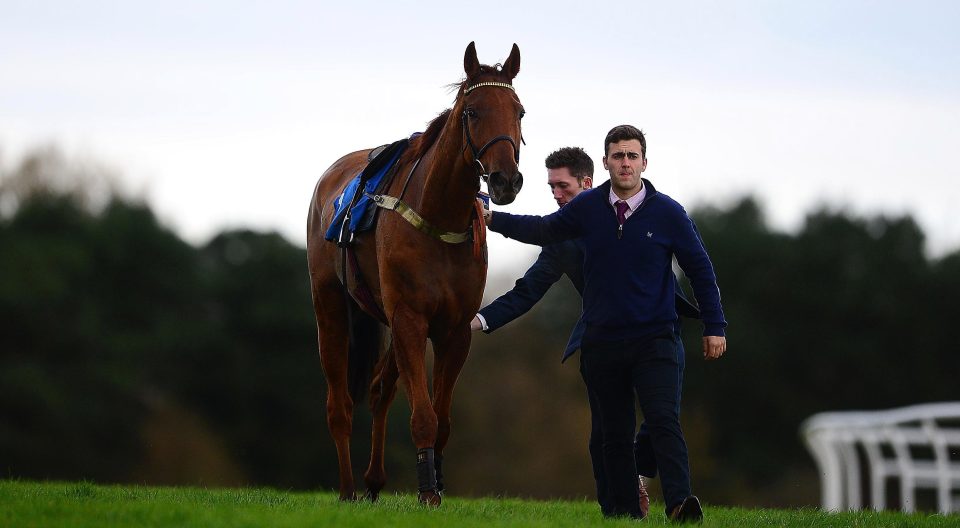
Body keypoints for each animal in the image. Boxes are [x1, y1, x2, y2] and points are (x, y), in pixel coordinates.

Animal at [308, 43, 524, 506]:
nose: (505, 180)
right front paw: (427, 494)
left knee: (379, 388)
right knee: (339, 404)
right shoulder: (410, 318)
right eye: (472, 111)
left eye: (519, 111)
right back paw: (348, 490)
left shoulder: (454, 329)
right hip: (330, 306)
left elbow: (442, 419)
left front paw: (435, 484)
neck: (437, 216)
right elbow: (424, 416)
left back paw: (373, 482)